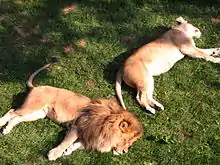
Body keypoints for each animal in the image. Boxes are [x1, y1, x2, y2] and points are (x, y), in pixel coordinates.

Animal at [0, 63, 143, 160]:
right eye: (126, 141)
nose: (125, 152)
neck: (106, 124)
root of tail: (37, 87)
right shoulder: (78, 126)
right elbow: (66, 142)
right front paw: (55, 154)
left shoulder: (90, 135)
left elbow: (77, 144)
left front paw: (68, 151)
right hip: (33, 106)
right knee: (12, 111)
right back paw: (1, 124)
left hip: (38, 114)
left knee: (16, 118)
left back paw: (7, 129)